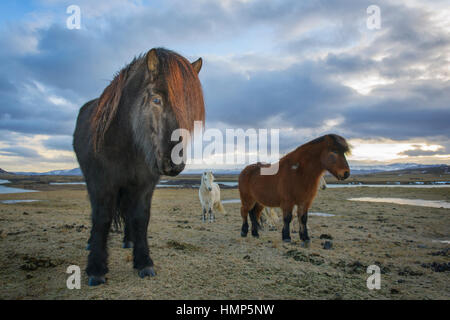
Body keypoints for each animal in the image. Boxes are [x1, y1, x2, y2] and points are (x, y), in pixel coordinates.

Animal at [73, 48, 204, 284]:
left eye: (188, 107)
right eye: (156, 99)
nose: (173, 164)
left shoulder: (144, 184)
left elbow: (141, 217)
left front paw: (144, 262)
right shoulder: (101, 182)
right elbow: (102, 217)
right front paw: (96, 269)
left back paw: (129, 240)